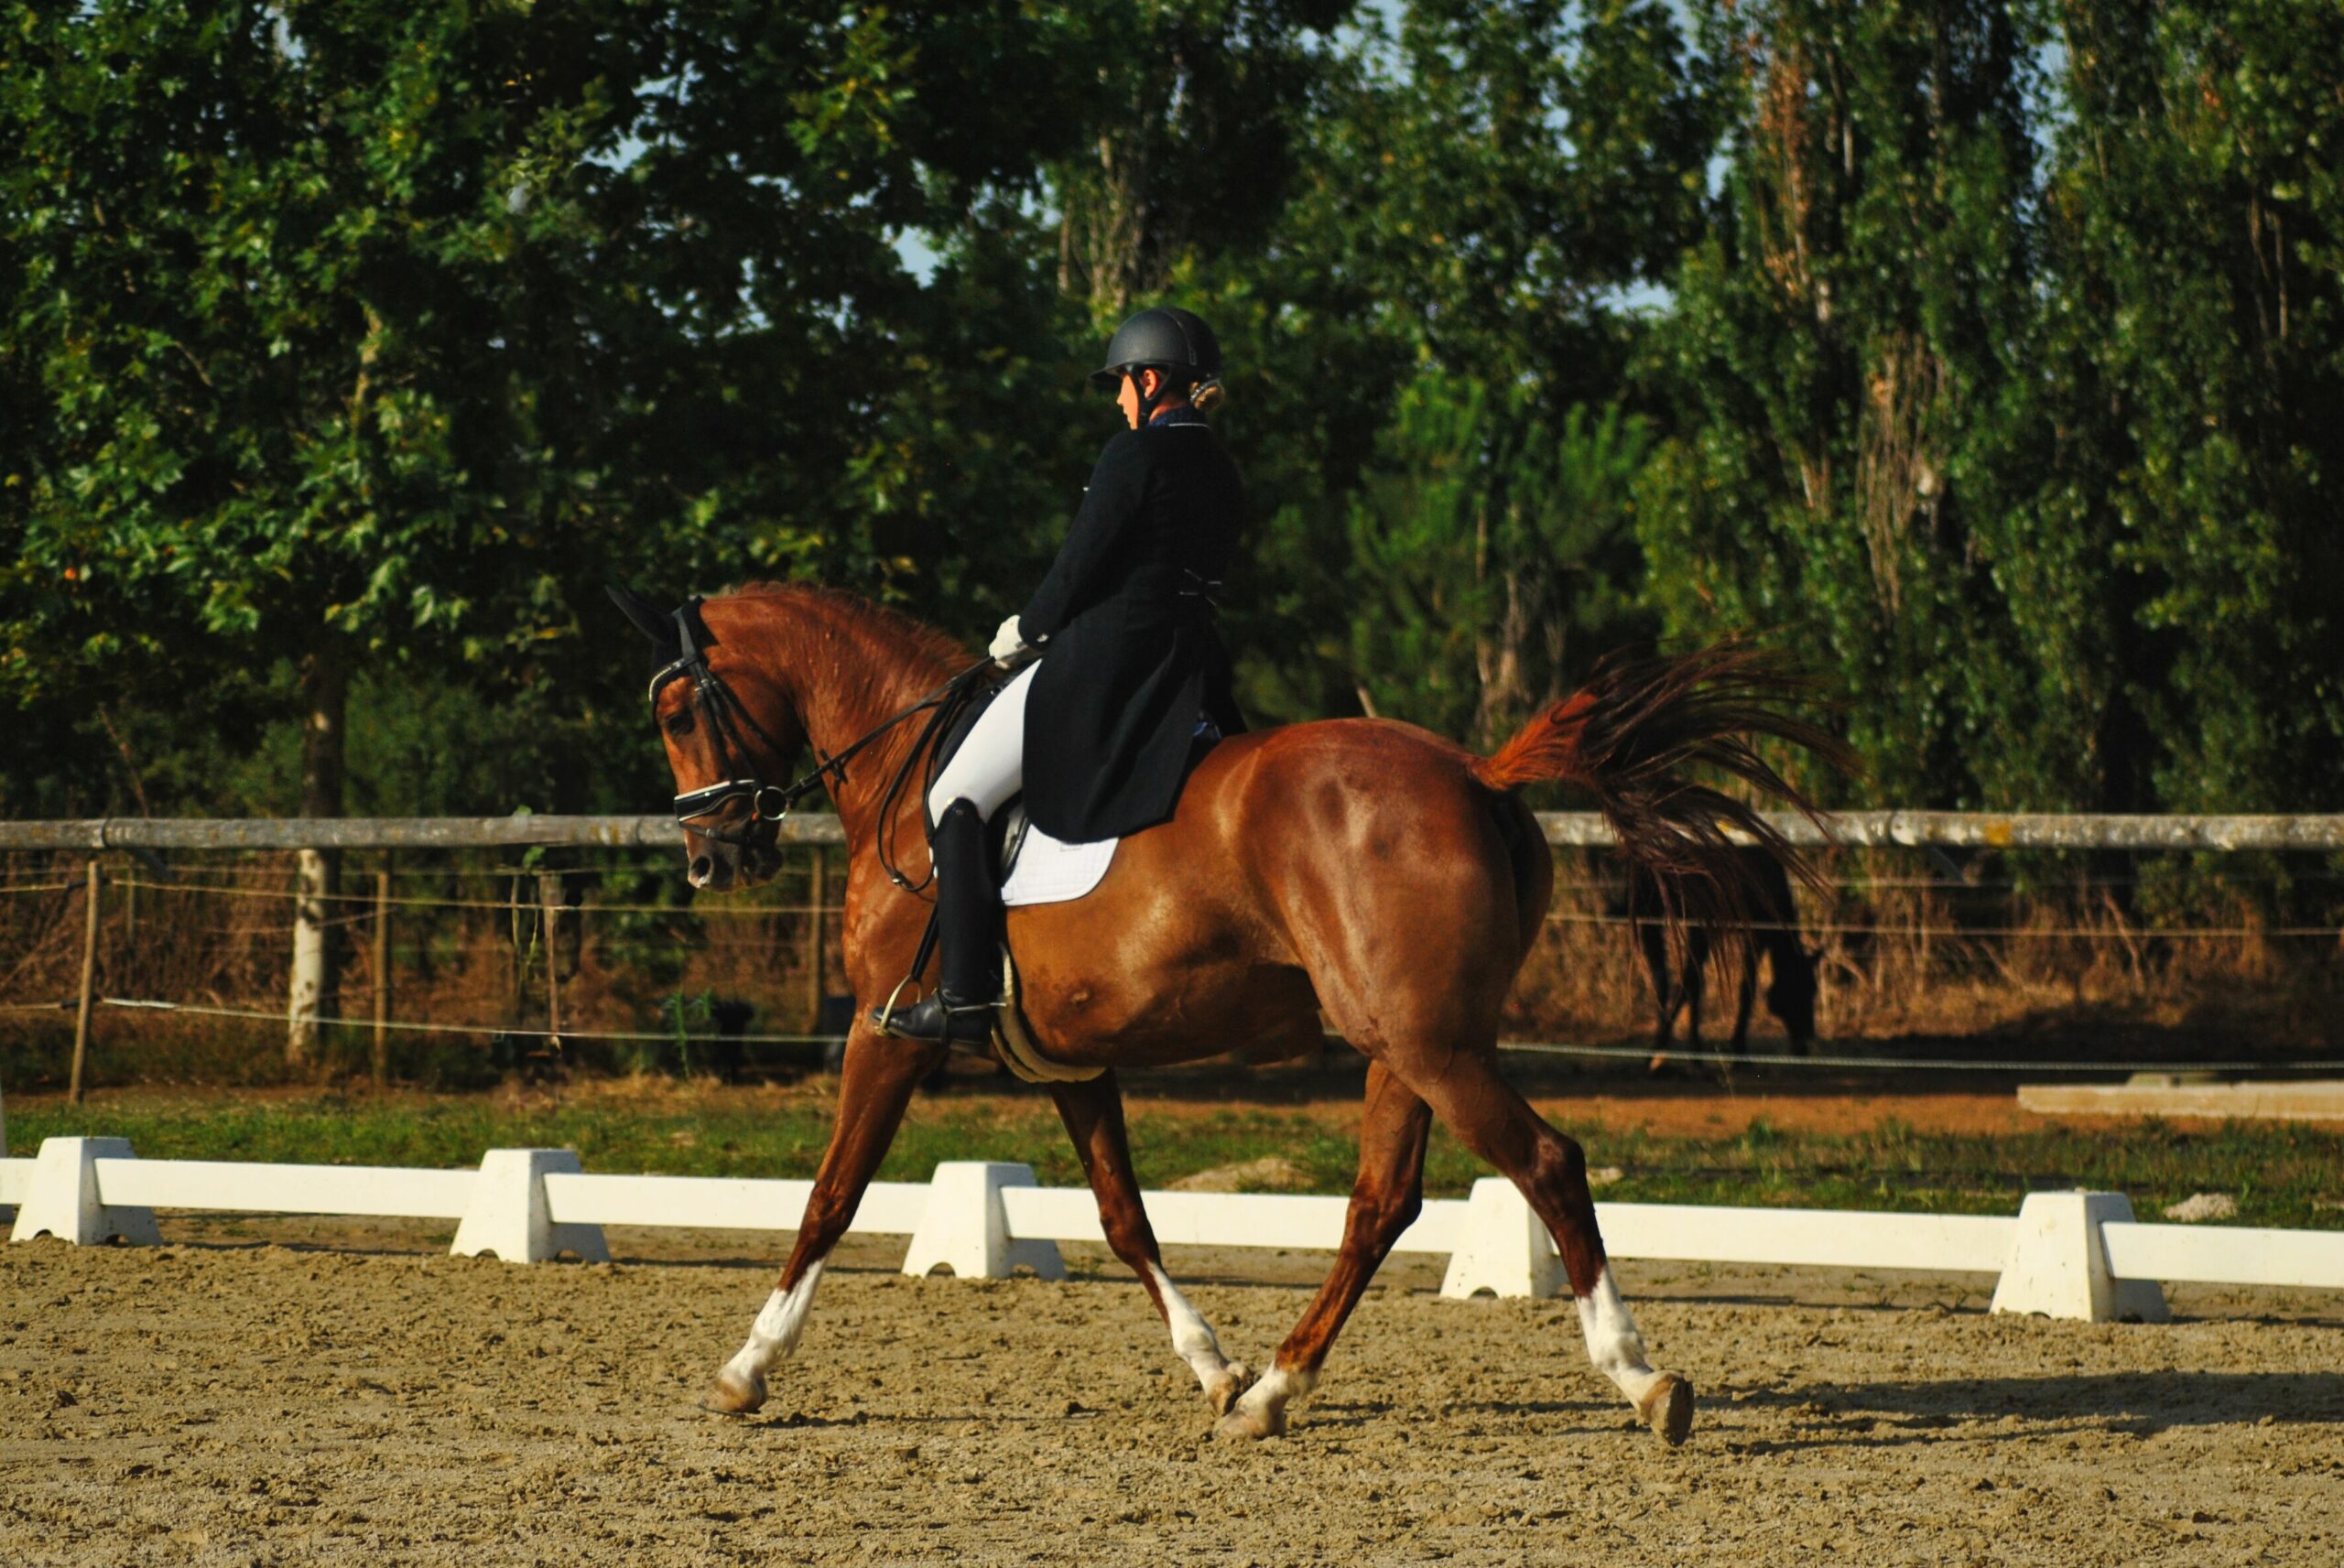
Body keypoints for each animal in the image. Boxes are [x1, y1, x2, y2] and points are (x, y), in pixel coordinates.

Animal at [609, 583, 1847, 1444]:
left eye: (674, 708)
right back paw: (1271, 1393)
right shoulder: (1068, 1062)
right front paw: (1210, 1367)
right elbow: (1124, 1218)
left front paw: (746, 1369)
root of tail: (1477, 774)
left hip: (1430, 1043)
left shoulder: (882, 1031)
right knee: (1380, 1205)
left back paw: (1641, 1379)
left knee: (1545, 1163)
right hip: (1406, 1042)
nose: (711, 856)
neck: (908, 778)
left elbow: (830, 1199)